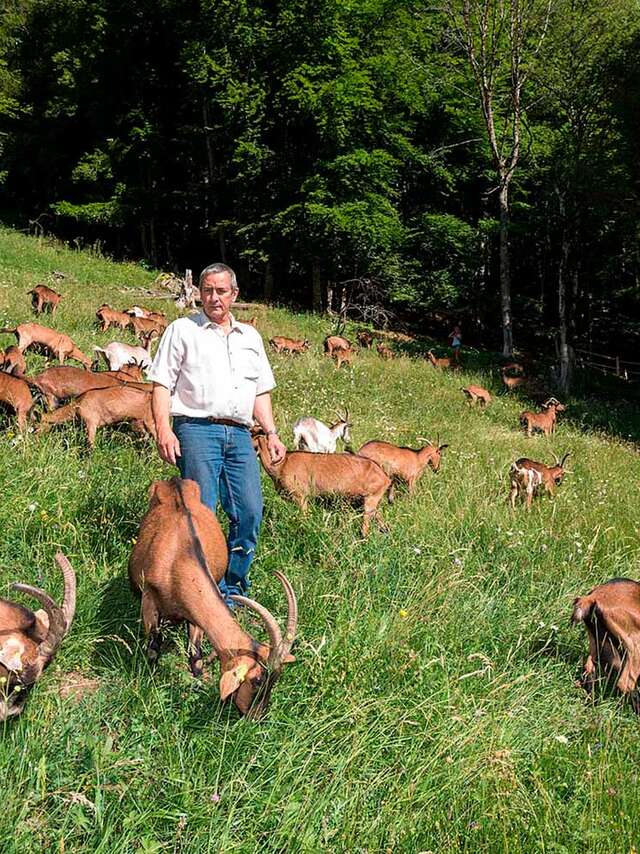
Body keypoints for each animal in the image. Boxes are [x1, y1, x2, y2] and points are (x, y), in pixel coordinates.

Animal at [255, 434, 390, 536]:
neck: (281, 465)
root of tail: (385, 476)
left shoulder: (300, 496)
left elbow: (304, 517)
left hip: (371, 497)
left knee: (366, 524)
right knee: (378, 517)